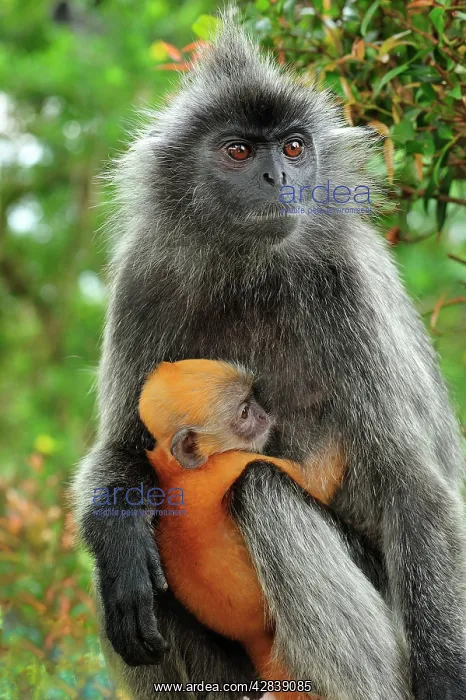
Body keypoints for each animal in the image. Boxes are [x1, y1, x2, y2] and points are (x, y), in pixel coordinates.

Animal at [72, 16, 466, 700]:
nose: (277, 180)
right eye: (238, 151)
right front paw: (118, 533)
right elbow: (124, 448)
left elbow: (414, 487)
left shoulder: (345, 283)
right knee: (122, 565)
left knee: (261, 488)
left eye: (292, 149)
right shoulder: (146, 277)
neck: (250, 272)